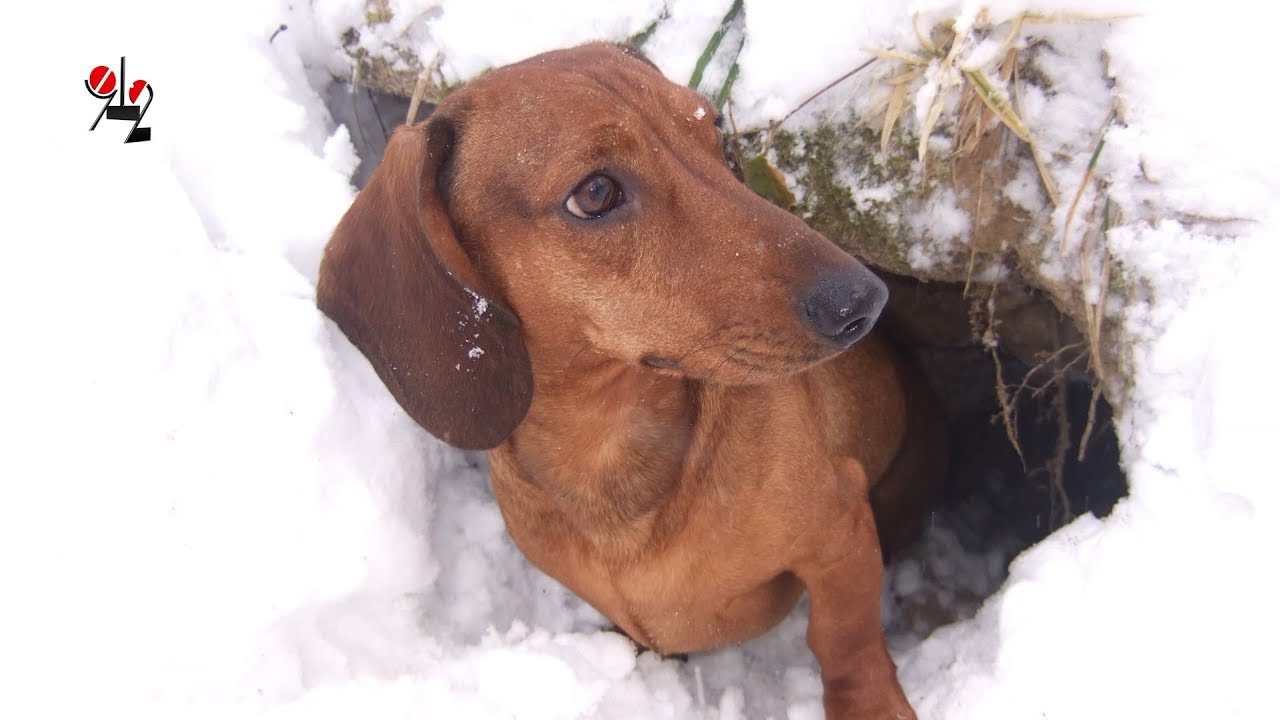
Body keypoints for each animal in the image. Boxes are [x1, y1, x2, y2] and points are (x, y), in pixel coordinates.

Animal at [318, 42, 946, 719]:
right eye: (595, 193)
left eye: (718, 138)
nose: (865, 301)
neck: (609, 457)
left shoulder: (841, 527)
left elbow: (844, 636)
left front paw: (871, 705)